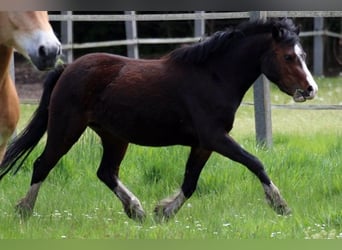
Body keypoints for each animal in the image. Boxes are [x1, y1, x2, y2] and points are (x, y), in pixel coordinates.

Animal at [0, 19, 318, 221]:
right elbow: (255, 162)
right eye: (289, 56)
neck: (213, 77)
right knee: (42, 165)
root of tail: (67, 69)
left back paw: (136, 211)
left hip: (114, 137)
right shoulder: (215, 137)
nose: (310, 89)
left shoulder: (203, 144)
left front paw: (162, 212)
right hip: (66, 128)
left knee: (106, 172)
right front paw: (280, 205)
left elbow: (190, 182)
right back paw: (24, 211)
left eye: (302, 54)